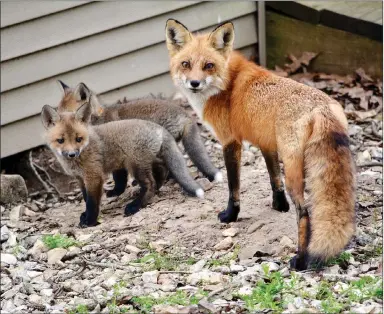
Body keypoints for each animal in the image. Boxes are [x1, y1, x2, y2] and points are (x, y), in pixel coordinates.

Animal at [164, 19, 356, 270]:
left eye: (208, 65)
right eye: (186, 64)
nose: (194, 83)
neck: (226, 84)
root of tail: (321, 108)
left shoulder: (230, 141)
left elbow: (233, 187)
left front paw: (230, 215)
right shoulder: (266, 142)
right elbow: (274, 179)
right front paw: (279, 205)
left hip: (293, 169)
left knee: (304, 213)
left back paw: (301, 260)